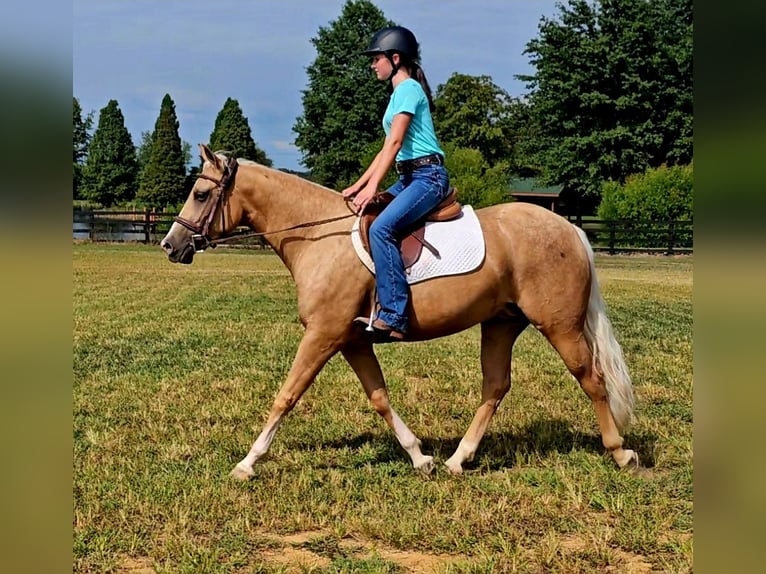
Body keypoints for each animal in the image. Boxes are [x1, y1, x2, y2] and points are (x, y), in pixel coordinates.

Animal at [160, 144, 638, 480]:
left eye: (200, 193)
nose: (170, 245)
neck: (319, 238)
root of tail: (570, 228)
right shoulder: (351, 340)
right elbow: (380, 397)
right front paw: (420, 457)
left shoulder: (322, 335)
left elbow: (287, 395)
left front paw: (247, 463)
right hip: (502, 323)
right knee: (496, 387)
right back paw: (457, 460)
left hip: (560, 326)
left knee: (591, 379)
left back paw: (620, 452)